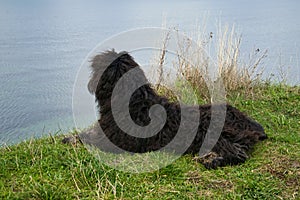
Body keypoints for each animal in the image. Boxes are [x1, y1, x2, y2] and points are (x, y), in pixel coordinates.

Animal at [63, 50, 268, 169]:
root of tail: (249, 122)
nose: (89, 83)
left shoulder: (115, 141)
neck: (134, 102)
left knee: (238, 153)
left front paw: (69, 139)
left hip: (209, 131)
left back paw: (213, 161)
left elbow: (87, 139)